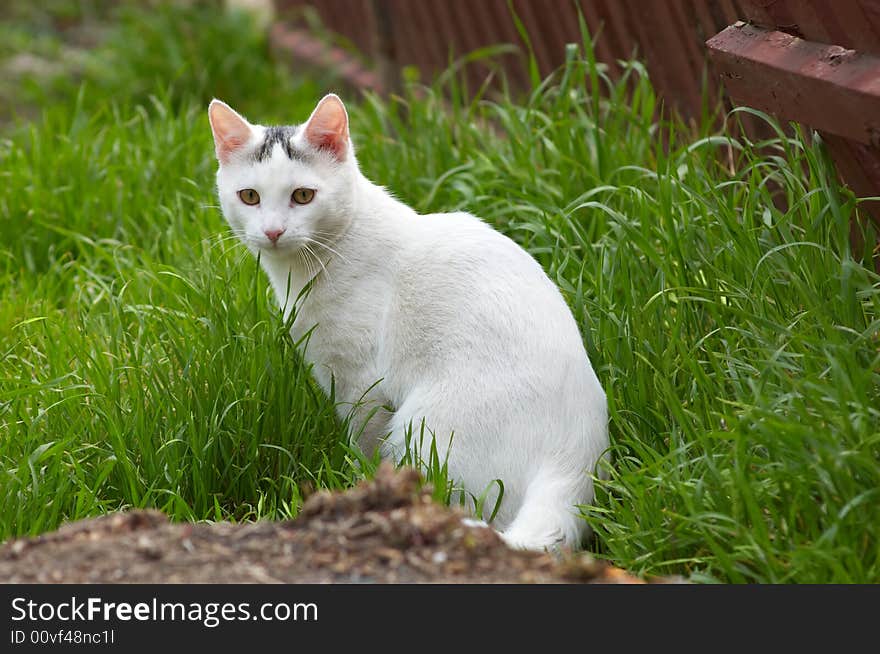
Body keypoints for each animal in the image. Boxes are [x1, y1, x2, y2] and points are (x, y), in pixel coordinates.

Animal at [208, 93, 604, 552]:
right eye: (249, 196)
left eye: (303, 195)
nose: (272, 231)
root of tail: (575, 460)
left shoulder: (360, 383)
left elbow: (363, 442)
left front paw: (358, 482)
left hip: (423, 429)